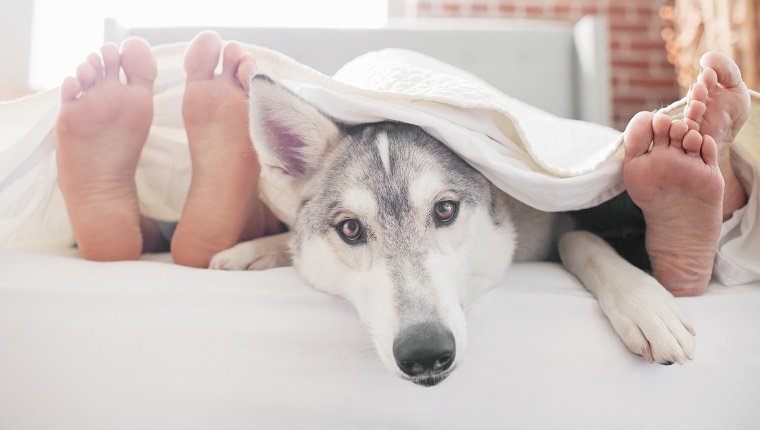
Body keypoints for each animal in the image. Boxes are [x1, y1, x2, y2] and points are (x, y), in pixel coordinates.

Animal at [211, 74, 696, 386]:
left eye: (445, 210)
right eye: (350, 229)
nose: (424, 353)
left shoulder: (560, 215)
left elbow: (578, 238)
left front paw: (644, 302)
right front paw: (254, 250)